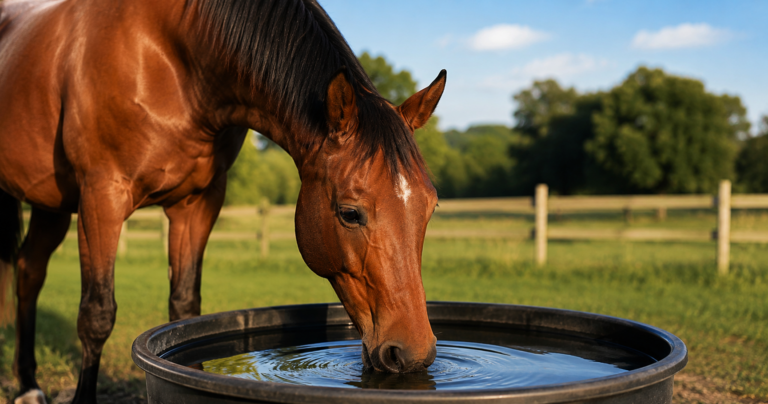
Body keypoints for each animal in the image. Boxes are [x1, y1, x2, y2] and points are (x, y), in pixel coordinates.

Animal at [0, 0, 446, 402]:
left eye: (430, 208)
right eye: (350, 213)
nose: (412, 353)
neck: (169, 55)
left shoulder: (197, 203)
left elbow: (185, 311)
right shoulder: (102, 196)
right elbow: (96, 315)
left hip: (51, 204)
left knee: (28, 270)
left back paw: (28, 384)